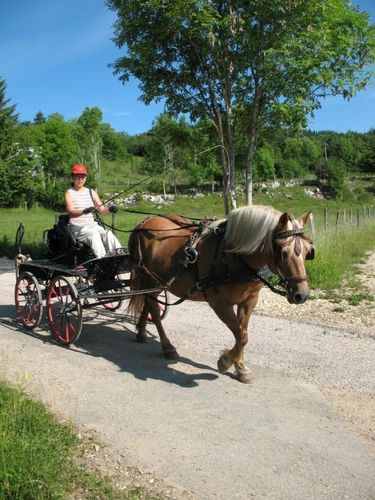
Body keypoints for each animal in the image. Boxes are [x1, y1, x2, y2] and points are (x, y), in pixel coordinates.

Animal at [128, 203, 316, 382]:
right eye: (283, 252)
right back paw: (167, 347)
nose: (302, 295)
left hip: (158, 282)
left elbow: (243, 333)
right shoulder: (219, 303)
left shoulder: (249, 300)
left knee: (148, 303)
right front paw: (225, 361)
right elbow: (241, 335)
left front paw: (240, 368)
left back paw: (141, 331)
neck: (234, 255)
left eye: (308, 252)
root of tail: (143, 222)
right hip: (148, 278)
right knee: (153, 308)